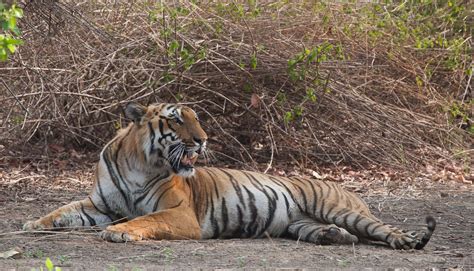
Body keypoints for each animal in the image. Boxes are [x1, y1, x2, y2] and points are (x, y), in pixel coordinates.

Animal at [23, 102, 436, 251]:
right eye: (177, 120)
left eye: (196, 119)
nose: (203, 139)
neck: (139, 163)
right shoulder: (99, 204)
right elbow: (62, 211)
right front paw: (32, 223)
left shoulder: (179, 214)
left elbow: (146, 219)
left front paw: (120, 232)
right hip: (300, 223)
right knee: (340, 233)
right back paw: (334, 237)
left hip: (337, 208)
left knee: (383, 229)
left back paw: (412, 239)